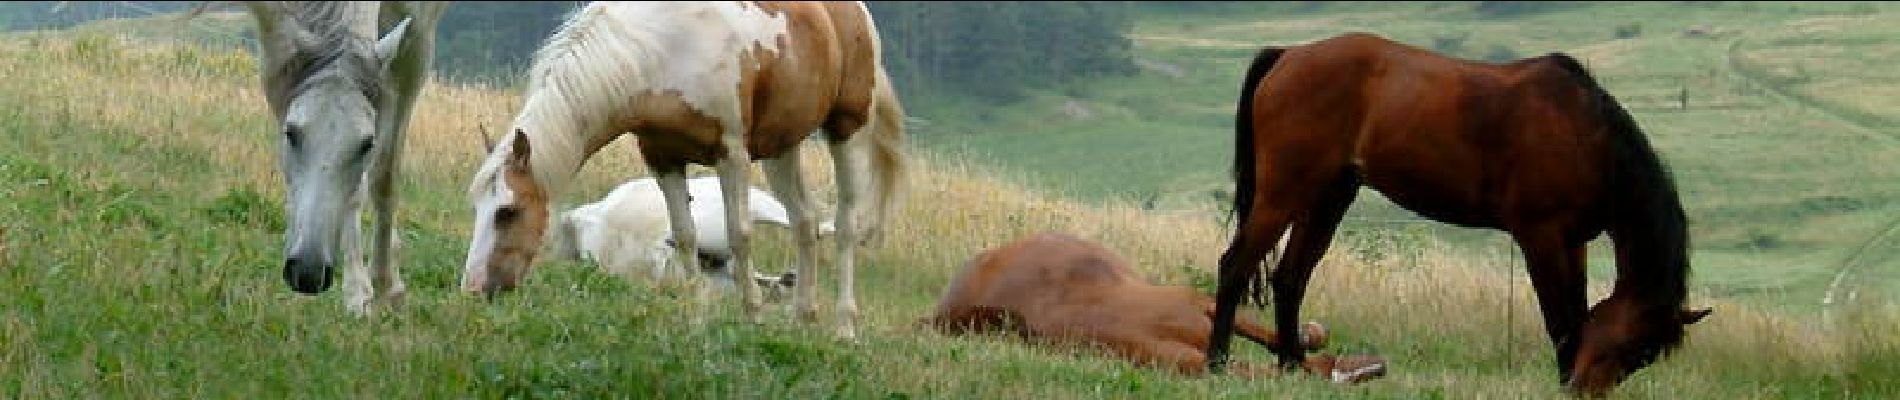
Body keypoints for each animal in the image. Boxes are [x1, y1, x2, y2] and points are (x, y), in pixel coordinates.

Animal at [1208, 32, 1717, 396]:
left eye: (1645, 356)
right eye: (1636, 346)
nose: (1582, 389)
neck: (1583, 133)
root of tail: (1288, 55)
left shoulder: (1573, 241)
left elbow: (1575, 315)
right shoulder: (1541, 236)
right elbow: (1559, 318)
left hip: (1329, 198)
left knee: (1290, 278)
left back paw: (1292, 368)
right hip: (1283, 194)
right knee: (1234, 266)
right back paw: (1215, 364)